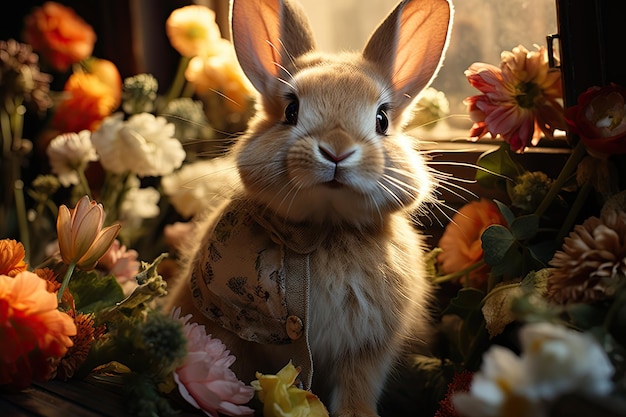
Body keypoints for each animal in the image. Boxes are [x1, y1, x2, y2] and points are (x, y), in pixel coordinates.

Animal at [163, 0, 450, 412]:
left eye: (382, 119)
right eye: (291, 111)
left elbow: (357, 388)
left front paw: (354, 414)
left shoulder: (367, 350)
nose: (336, 150)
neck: (323, 227)